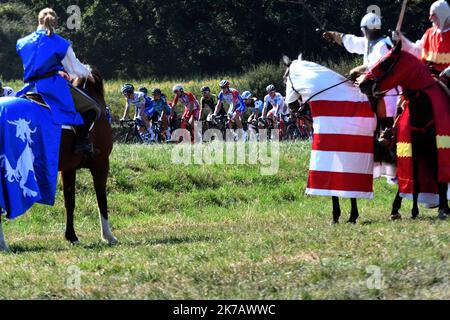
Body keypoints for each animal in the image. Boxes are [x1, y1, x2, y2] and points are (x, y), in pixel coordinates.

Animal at [0, 68, 116, 252]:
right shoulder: (101, 164)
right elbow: (101, 198)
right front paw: (108, 236)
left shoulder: (69, 169)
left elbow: (70, 202)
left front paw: (71, 236)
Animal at [358, 40, 450, 220]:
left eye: (386, 62)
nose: (362, 83)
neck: (422, 109)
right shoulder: (413, 149)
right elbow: (414, 179)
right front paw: (407, 210)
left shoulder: (437, 149)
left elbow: (440, 178)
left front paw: (443, 209)